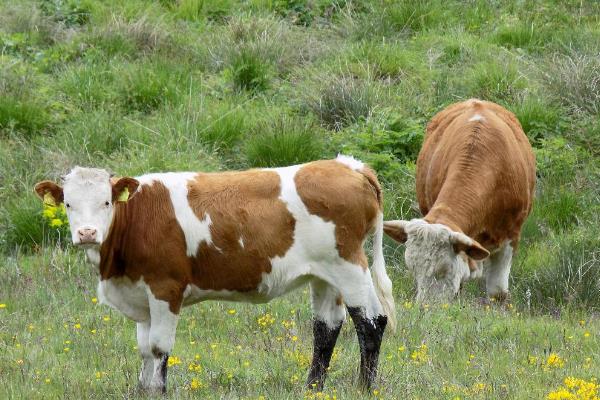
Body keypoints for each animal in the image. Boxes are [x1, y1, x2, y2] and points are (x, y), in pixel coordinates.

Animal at [35, 156, 396, 394]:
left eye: (106, 202)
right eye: (68, 204)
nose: (87, 233)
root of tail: (349, 166)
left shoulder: (166, 287)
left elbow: (159, 347)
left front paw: (159, 391)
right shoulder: (140, 294)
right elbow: (144, 349)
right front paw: (143, 390)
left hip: (349, 264)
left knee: (370, 320)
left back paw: (364, 389)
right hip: (325, 273)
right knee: (326, 328)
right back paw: (312, 389)